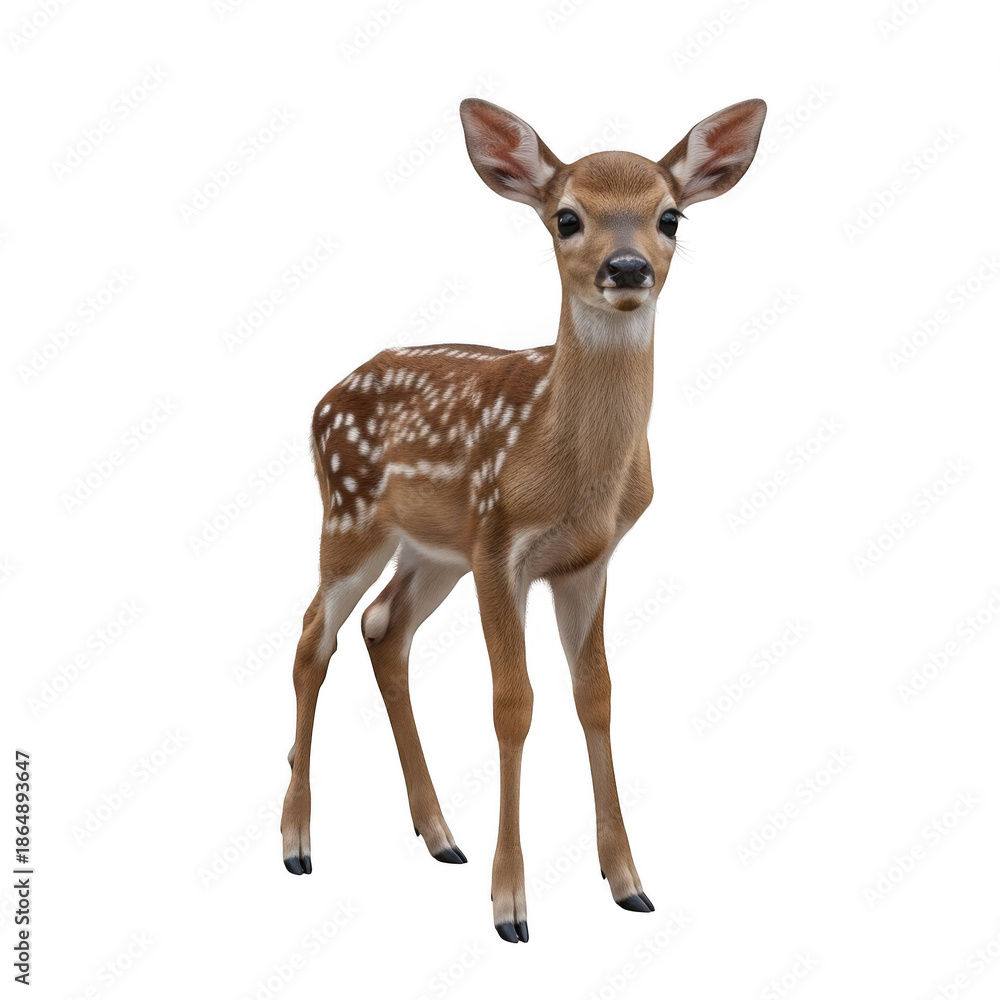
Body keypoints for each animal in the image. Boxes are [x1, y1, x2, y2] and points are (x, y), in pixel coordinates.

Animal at [280, 96, 767, 943]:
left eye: (669, 216)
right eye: (567, 217)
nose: (627, 269)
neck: (569, 467)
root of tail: (324, 398)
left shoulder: (585, 561)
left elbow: (595, 694)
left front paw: (628, 881)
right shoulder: (499, 545)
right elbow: (514, 704)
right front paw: (511, 906)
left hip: (432, 551)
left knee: (383, 629)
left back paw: (440, 833)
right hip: (351, 515)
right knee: (314, 637)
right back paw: (298, 841)